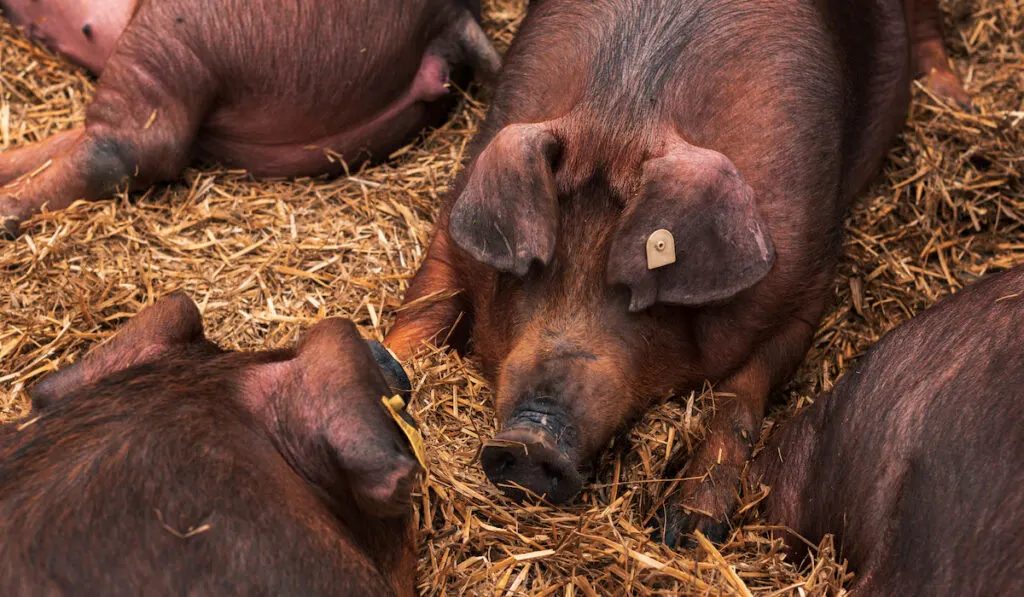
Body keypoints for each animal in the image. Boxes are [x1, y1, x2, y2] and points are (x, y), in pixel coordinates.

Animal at [380, 0, 970, 544]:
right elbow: (421, 310)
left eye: (638, 293)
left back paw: (949, 93)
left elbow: (742, 393)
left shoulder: (807, 283)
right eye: (531, 270)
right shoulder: (453, 226)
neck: (622, 115)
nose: (530, 442)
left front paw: (685, 529)